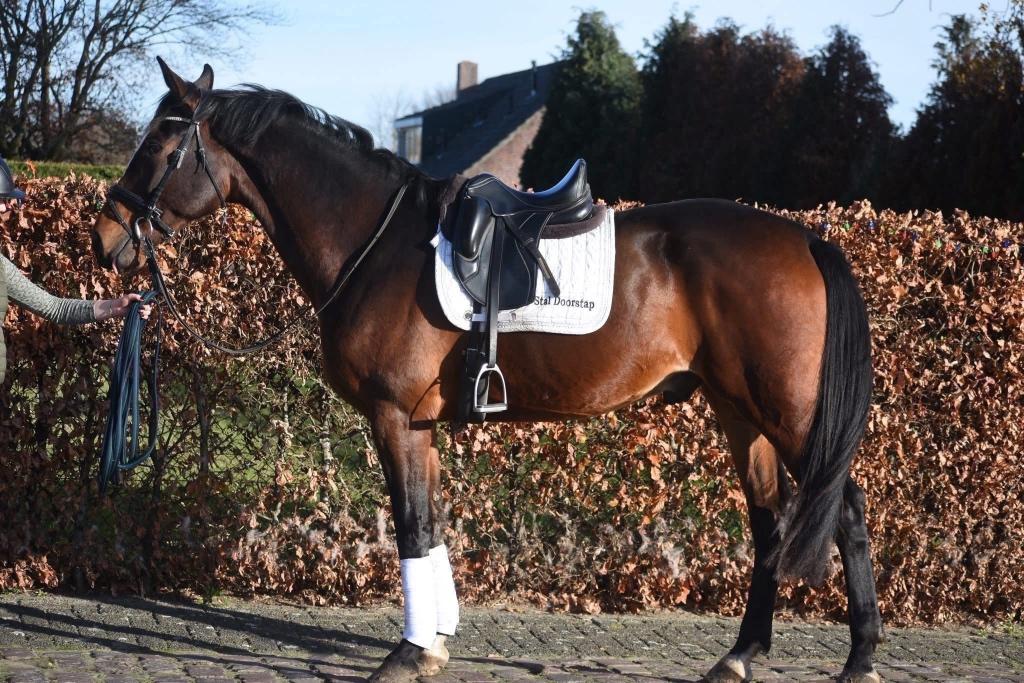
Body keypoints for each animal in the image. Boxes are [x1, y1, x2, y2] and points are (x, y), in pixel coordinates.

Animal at [91, 59, 882, 683]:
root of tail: (806, 239)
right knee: (770, 524)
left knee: (843, 511)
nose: (105, 238)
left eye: (160, 142)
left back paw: (860, 658)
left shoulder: (394, 417)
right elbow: (433, 524)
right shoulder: (421, 424)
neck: (376, 243)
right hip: (740, 414)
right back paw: (740, 655)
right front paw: (436, 642)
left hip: (791, 416)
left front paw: (407, 653)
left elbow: (412, 527)